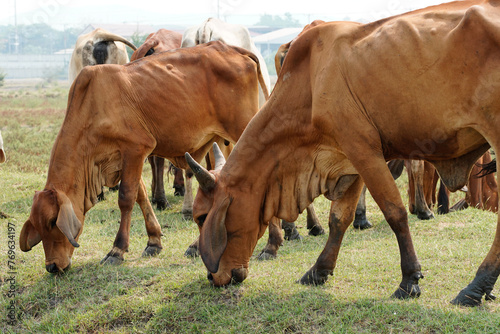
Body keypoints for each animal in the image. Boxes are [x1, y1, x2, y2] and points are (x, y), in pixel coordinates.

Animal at [18, 40, 270, 272]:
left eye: (52, 222)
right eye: (38, 227)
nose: (52, 267)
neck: (92, 108)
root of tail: (233, 49)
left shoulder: (135, 148)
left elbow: (126, 198)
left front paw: (117, 250)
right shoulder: (125, 159)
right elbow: (141, 196)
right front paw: (153, 241)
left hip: (244, 128)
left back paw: (271, 246)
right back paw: (198, 246)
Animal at [186, 0, 500, 308]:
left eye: (202, 217)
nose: (212, 277)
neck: (311, 82)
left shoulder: (364, 151)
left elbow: (395, 212)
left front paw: (409, 279)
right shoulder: (349, 159)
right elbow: (339, 218)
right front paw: (318, 270)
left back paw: (475, 286)